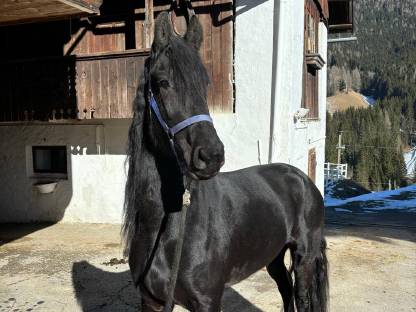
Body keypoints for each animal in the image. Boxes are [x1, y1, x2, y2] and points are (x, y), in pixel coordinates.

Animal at [123, 11, 328, 310]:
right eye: (162, 82)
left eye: (205, 84)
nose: (211, 155)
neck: (165, 230)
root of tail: (301, 178)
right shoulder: (152, 302)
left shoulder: (208, 301)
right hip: (273, 255)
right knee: (285, 290)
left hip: (305, 256)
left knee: (300, 295)